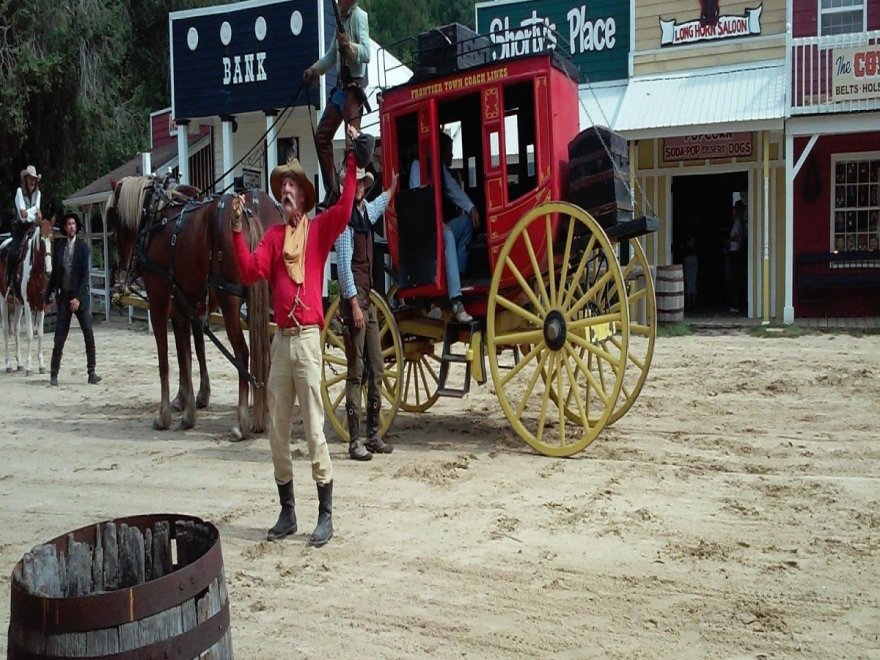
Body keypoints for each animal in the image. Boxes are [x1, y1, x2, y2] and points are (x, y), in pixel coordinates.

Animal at [0, 219, 53, 376]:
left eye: (52, 239)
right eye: (41, 239)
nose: (49, 271)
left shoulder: (41, 304)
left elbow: (40, 333)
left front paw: (41, 365)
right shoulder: (29, 304)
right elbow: (30, 334)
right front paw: (30, 367)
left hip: (18, 304)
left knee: (16, 328)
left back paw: (19, 363)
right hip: (3, 300)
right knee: (5, 329)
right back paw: (8, 364)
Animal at [106, 178, 278, 438]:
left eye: (112, 217)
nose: (116, 271)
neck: (155, 220)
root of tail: (248, 215)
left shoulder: (159, 300)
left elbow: (166, 359)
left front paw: (165, 415)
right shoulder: (185, 307)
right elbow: (187, 355)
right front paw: (188, 409)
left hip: (229, 300)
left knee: (242, 352)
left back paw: (242, 423)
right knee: (265, 351)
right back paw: (263, 413)